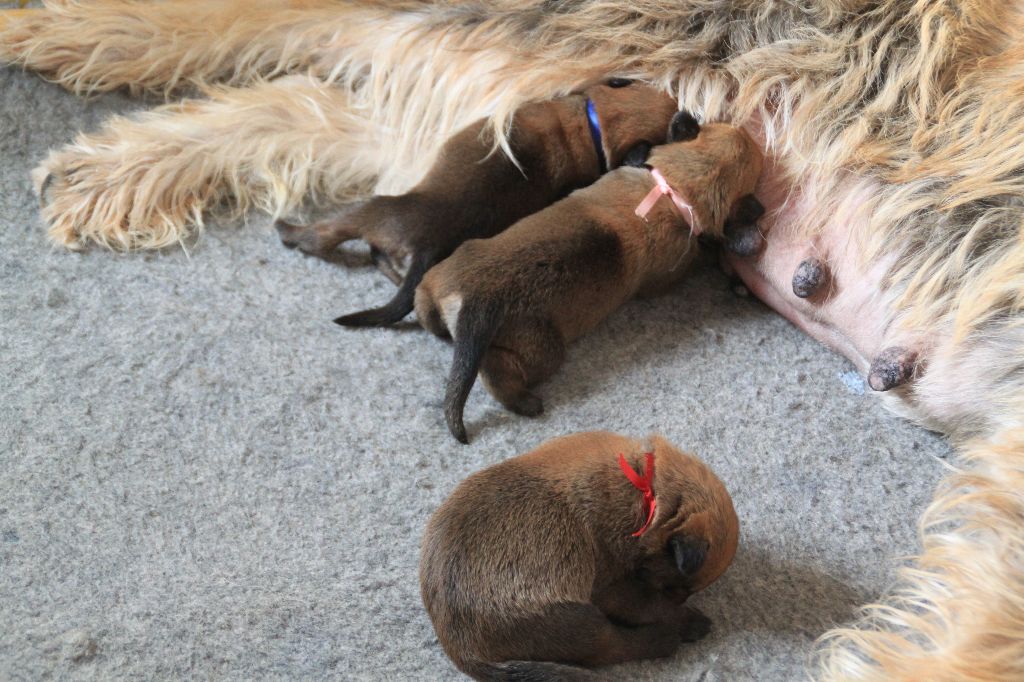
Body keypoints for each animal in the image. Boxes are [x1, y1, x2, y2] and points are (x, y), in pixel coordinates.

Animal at [270, 82, 679, 327]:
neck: (593, 124)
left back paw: (289, 231)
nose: (685, 117)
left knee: (328, 236)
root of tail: (427, 245)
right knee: (381, 259)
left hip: (374, 211)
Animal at [417, 111, 770, 440]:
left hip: (440, 274)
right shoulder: (673, 270)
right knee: (497, 370)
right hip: (543, 349)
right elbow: (703, 253)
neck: (675, 190)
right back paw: (524, 402)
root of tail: (476, 301)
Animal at [419, 432, 741, 675]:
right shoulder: (613, 588)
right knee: (612, 647)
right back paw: (666, 638)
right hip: (578, 620)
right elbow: (654, 606)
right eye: (672, 586)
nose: (683, 600)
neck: (648, 488)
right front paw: (687, 618)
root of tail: (461, 650)